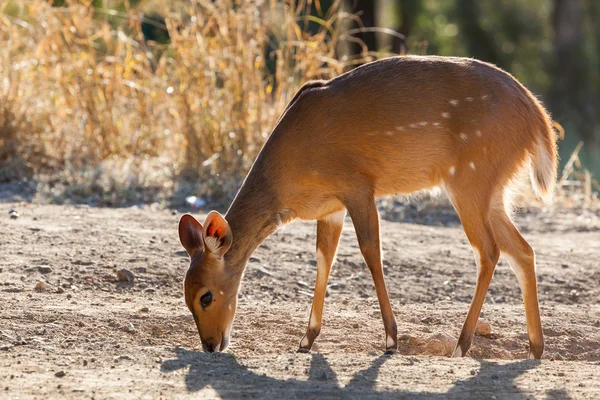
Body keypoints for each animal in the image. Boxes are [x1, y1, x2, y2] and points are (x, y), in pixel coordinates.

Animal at [179, 54, 556, 358]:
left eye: (206, 297)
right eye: (186, 296)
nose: (210, 345)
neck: (289, 174)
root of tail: (538, 118)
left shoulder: (357, 186)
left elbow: (370, 251)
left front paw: (391, 339)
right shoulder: (330, 207)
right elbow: (323, 259)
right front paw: (306, 340)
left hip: (470, 180)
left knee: (489, 250)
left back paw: (462, 345)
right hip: (493, 191)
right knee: (523, 250)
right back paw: (535, 348)